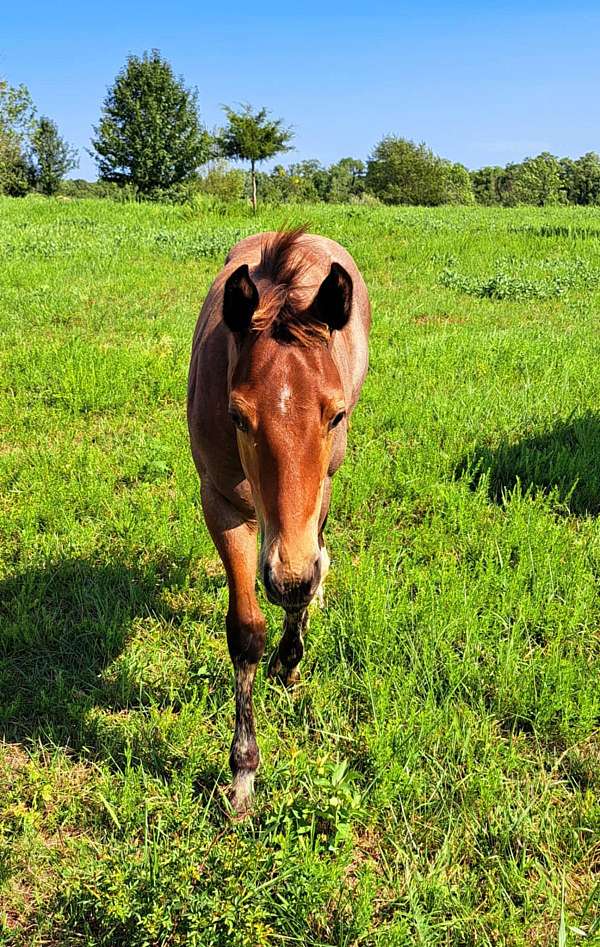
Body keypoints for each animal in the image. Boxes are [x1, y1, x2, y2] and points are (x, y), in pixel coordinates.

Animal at [188, 230, 370, 816]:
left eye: (335, 414)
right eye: (238, 416)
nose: (288, 576)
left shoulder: (316, 497)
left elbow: (303, 583)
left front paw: (289, 663)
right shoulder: (221, 504)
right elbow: (246, 630)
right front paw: (243, 773)